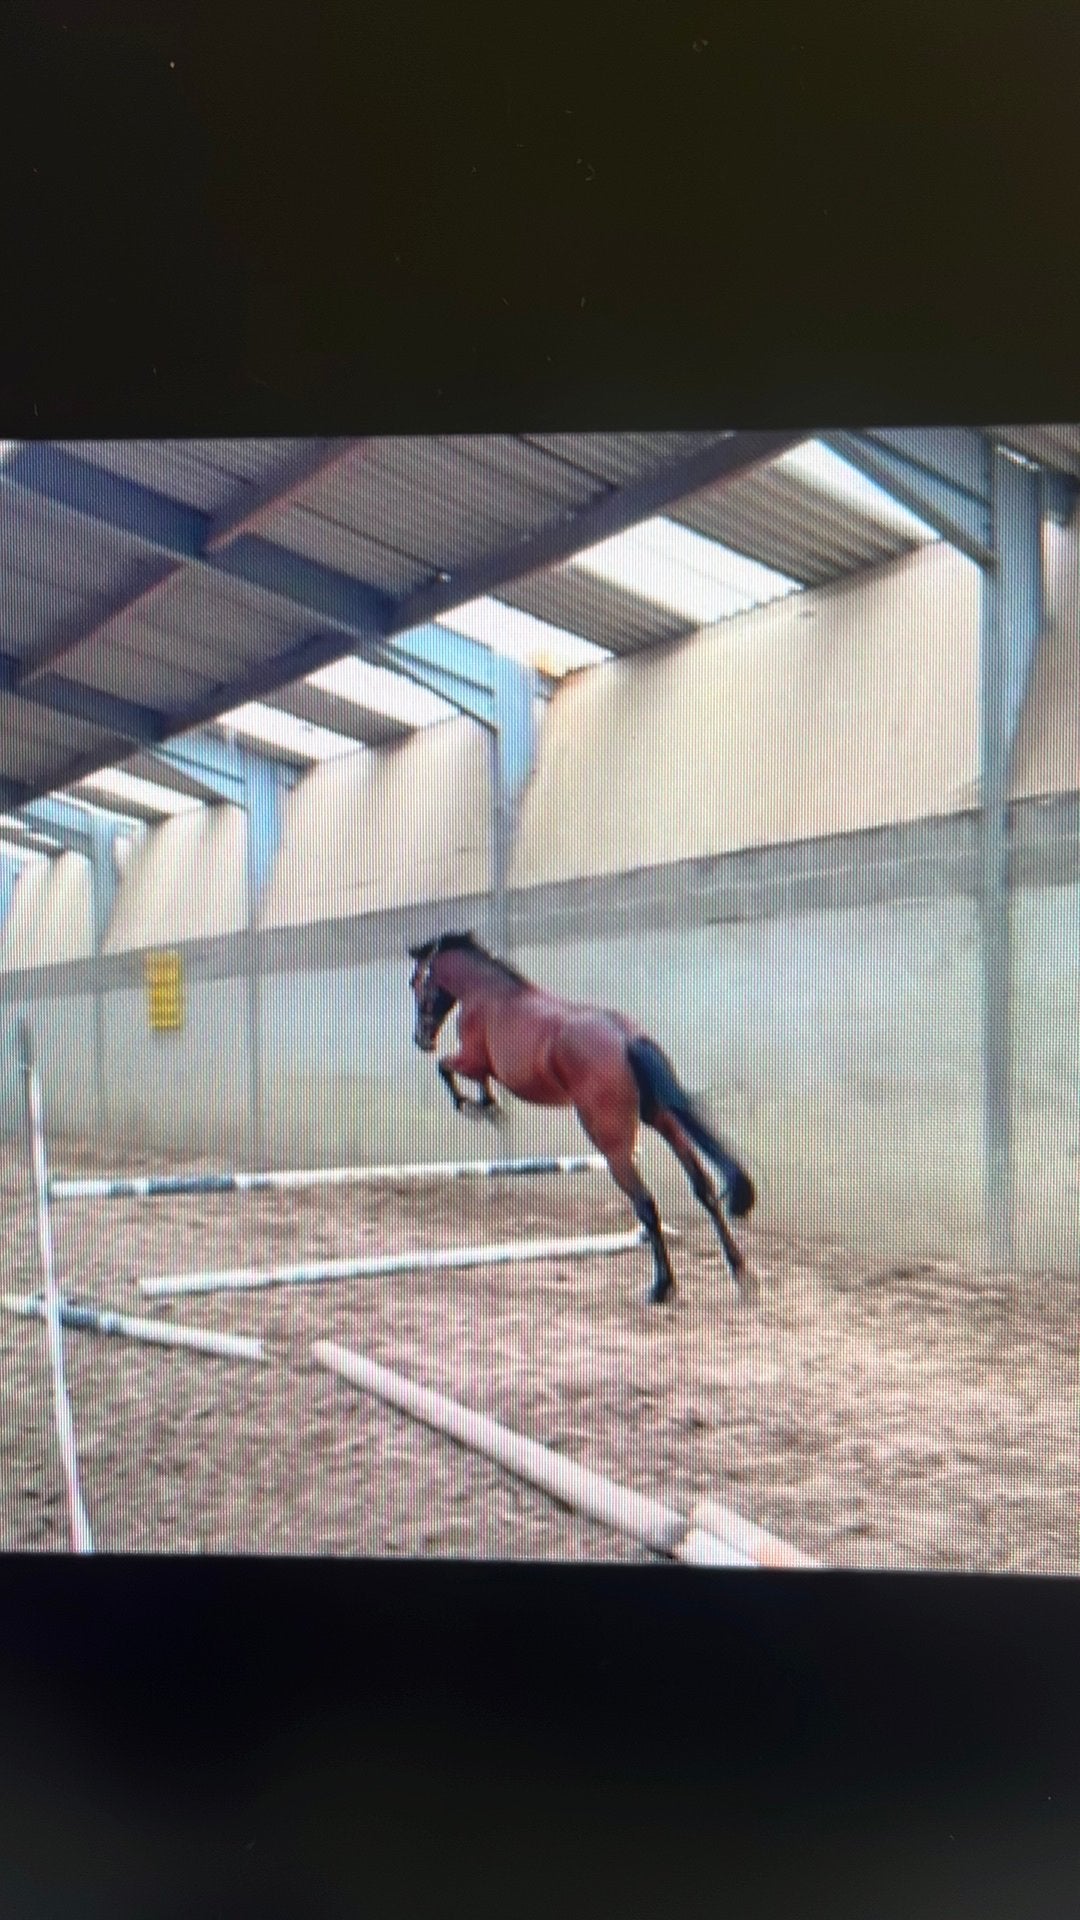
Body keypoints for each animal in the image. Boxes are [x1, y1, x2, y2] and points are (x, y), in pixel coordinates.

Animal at [407, 930, 755, 1305]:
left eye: (415, 982)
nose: (420, 1040)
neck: (485, 993)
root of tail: (626, 1038)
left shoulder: (473, 1060)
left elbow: (447, 1068)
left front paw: (476, 1107)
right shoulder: (479, 1065)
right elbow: (471, 1079)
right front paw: (488, 1107)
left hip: (613, 1147)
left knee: (646, 1204)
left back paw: (662, 1287)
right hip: (662, 1120)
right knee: (703, 1188)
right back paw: (739, 1272)